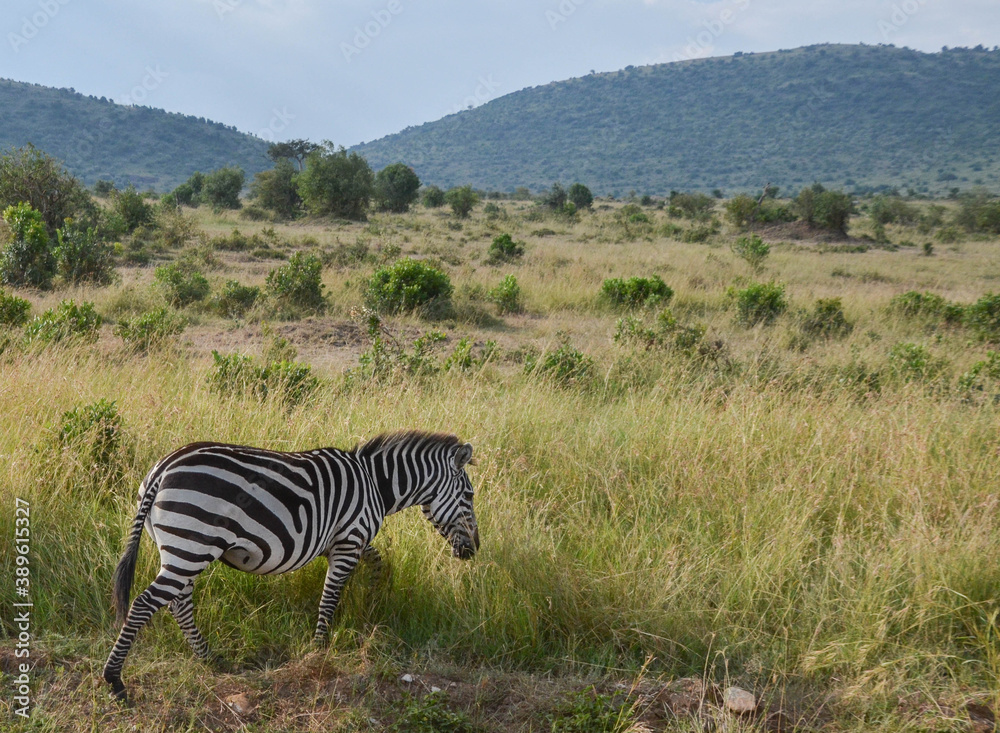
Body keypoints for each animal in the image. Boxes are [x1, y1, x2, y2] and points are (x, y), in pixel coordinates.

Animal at [103, 431, 479, 702]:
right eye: (470, 496)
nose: (474, 550)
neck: (376, 484)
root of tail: (163, 467)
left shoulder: (342, 540)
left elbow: (376, 562)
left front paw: (372, 597)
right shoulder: (349, 540)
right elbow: (330, 596)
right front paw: (320, 648)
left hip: (182, 548)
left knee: (179, 603)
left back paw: (210, 659)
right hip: (193, 544)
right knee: (145, 604)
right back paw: (115, 681)